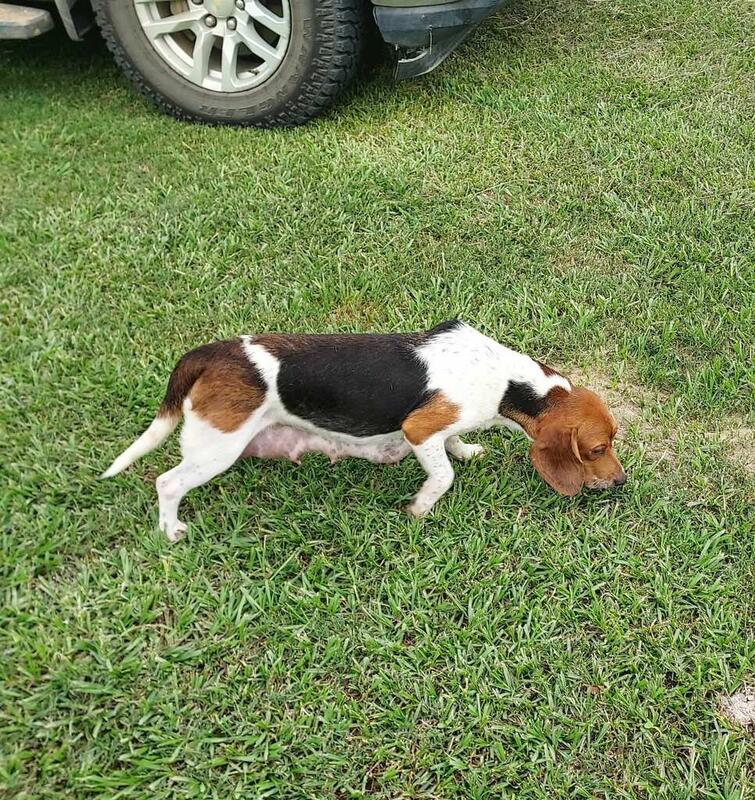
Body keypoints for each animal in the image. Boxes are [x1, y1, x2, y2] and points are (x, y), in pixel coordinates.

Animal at [103, 321, 626, 540]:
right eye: (596, 448)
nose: (622, 482)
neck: (507, 383)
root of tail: (209, 354)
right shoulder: (419, 429)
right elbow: (442, 477)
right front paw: (420, 508)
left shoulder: (446, 427)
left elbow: (455, 444)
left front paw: (467, 450)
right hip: (216, 448)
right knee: (167, 483)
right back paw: (170, 529)